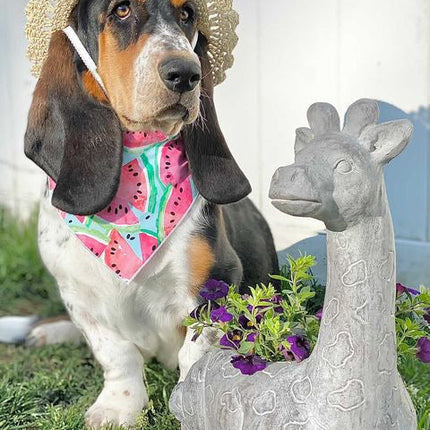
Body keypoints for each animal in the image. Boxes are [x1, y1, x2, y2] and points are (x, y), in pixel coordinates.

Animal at [22, 0, 278, 426]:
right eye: (122, 10)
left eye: (187, 15)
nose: (186, 74)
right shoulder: (79, 298)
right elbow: (116, 354)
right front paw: (117, 408)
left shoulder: (216, 282)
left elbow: (196, 353)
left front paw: (190, 403)